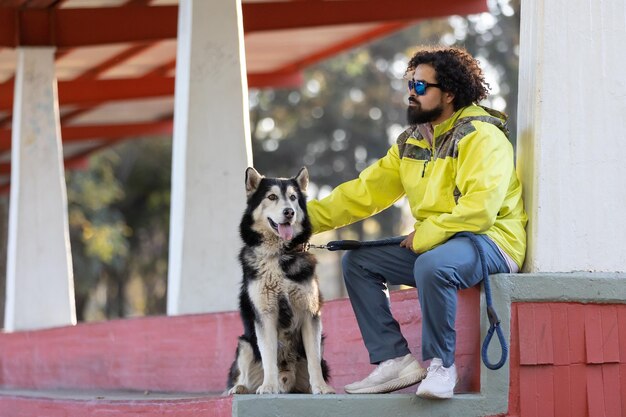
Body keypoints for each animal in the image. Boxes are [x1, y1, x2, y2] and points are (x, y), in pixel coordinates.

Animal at [223, 167, 332, 394]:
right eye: (272, 197)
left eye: (293, 198)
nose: (289, 212)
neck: (279, 255)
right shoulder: (265, 315)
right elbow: (268, 357)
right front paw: (268, 386)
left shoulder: (310, 314)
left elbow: (314, 361)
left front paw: (321, 387)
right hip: (245, 343)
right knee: (244, 375)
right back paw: (240, 388)